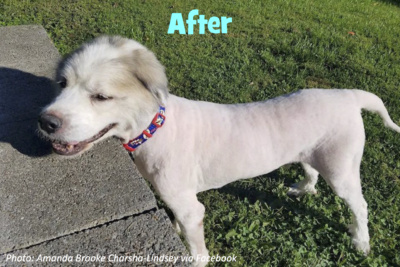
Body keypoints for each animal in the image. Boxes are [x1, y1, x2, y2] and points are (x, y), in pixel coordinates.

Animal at [38, 36, 400, 267]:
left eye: (101, 97)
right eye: (62, 84)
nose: (45, 122)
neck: (156, 127)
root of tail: (348, 95)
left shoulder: (190, 208)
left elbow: (197, 249)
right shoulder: (178, 202)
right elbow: (181, 227)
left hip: (341, 170)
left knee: (360, 205)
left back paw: (361, 241)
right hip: (312, 152)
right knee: (310, 170)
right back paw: (304, 188)